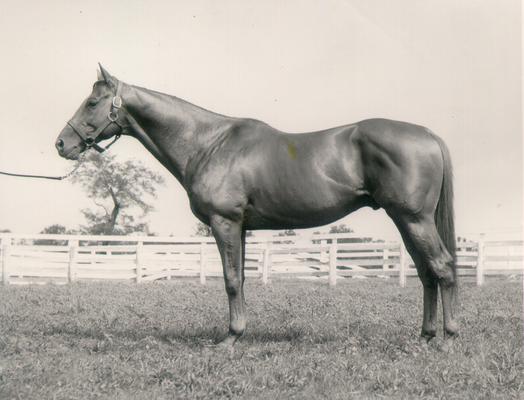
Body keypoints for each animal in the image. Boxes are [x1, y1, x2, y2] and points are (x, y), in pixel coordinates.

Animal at [55, 65, 458, 346]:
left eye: (92, 102)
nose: (61, 144)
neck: (208, 143)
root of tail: (428, 135)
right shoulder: (243, 227)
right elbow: (242, 278)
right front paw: (239, 333)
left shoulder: (225, 222)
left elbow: (232, 280)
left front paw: (229, 339)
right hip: (406, 221)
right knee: (427, 273)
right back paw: (425, 336)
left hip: (414, 219)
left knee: (442, 267)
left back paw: (448, 338)